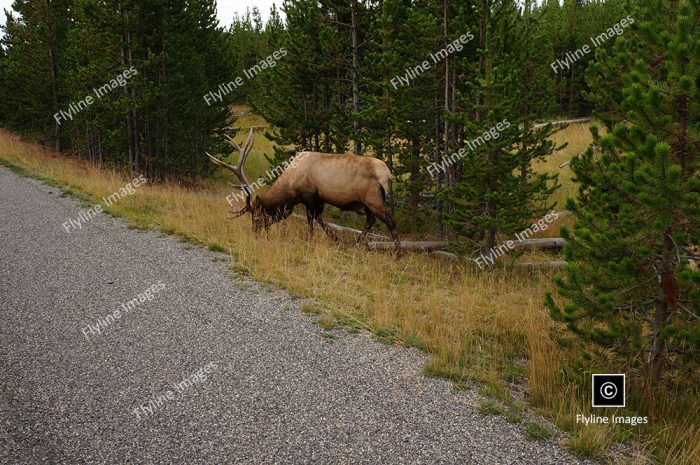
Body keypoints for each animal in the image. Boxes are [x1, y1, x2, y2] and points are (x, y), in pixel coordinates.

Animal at [204, 127, 400, 250]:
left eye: (257, 216)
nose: (255, 233)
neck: (290, 187)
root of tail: (388, 175)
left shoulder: (308, 196)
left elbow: (311, 220)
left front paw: (309, 240)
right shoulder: (319, 198)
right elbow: (320, 219)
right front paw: (335, 240)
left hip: (373, 199)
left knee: (390, 221)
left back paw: (398, 253)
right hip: (367, 203)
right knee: (370, 221)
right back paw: (358, 243)